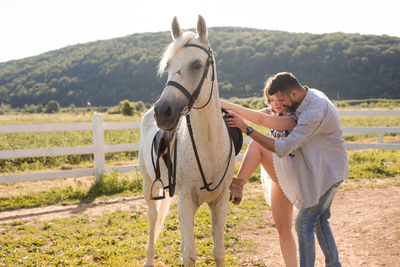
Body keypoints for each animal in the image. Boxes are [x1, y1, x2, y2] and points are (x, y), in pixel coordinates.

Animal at [139, 15, 236, 266]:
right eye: (168, 66)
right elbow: (189, 255)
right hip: (148, 184)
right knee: (153, 218)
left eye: (197, 65)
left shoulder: (220, 202)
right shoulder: (186, 199)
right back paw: (149, 259)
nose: (162, 111)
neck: (209, 145)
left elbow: (218, 252)